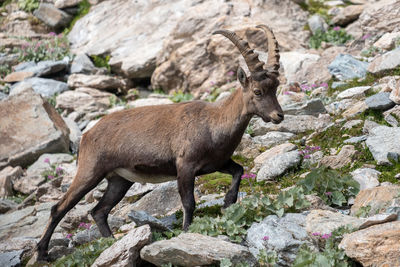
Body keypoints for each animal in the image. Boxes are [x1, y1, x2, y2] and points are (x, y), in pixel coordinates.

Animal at [33, 24, 284, 262]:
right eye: (258, 91)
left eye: (276, 88)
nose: (279, 116)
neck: (215, 123)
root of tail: (86, 136)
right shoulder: (185, 166)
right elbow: (188, 202)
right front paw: (186, 231)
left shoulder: (217, 163)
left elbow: (238, 170)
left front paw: (227, 202)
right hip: (90, 171)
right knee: (59, 208)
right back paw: (42, 252)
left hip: (119, 180)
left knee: (99, 211)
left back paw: (111, 242)